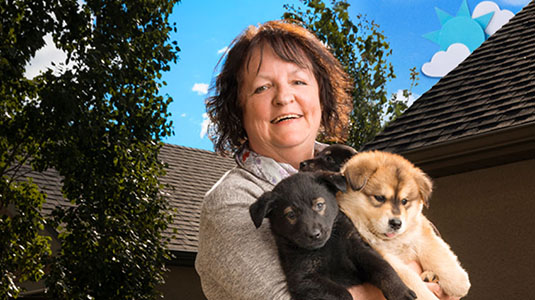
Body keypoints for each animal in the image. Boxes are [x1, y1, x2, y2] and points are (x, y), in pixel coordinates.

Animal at [249, 171, 416, 300]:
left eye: (319, 205)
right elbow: (343, 293)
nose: (314, 234)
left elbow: (384, 268)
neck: (328, 245)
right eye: (291, 215)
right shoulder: (302, 278)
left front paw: (400, 292)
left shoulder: (359, 249)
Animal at [340, 151, 468, 300]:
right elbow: (408, 276)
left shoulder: (420, 231)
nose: (396, 223)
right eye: (379, 197)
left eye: (404, 201)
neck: (392, 241)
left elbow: (435, 251)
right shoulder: (381, 254)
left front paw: (459, 282)